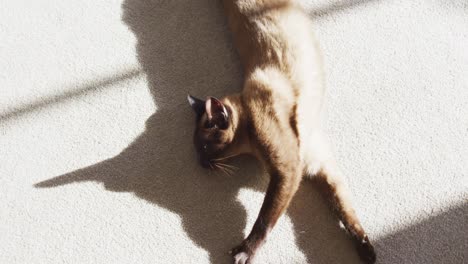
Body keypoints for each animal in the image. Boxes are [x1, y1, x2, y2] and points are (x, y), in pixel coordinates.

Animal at [186, 1, 376, 262]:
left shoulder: (288, 169)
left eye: (204, 147)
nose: (200, 163)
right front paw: (366, 250)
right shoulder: (312, 167)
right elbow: (344, 209)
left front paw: (245, 252)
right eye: (198, 149)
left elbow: (264, 219)